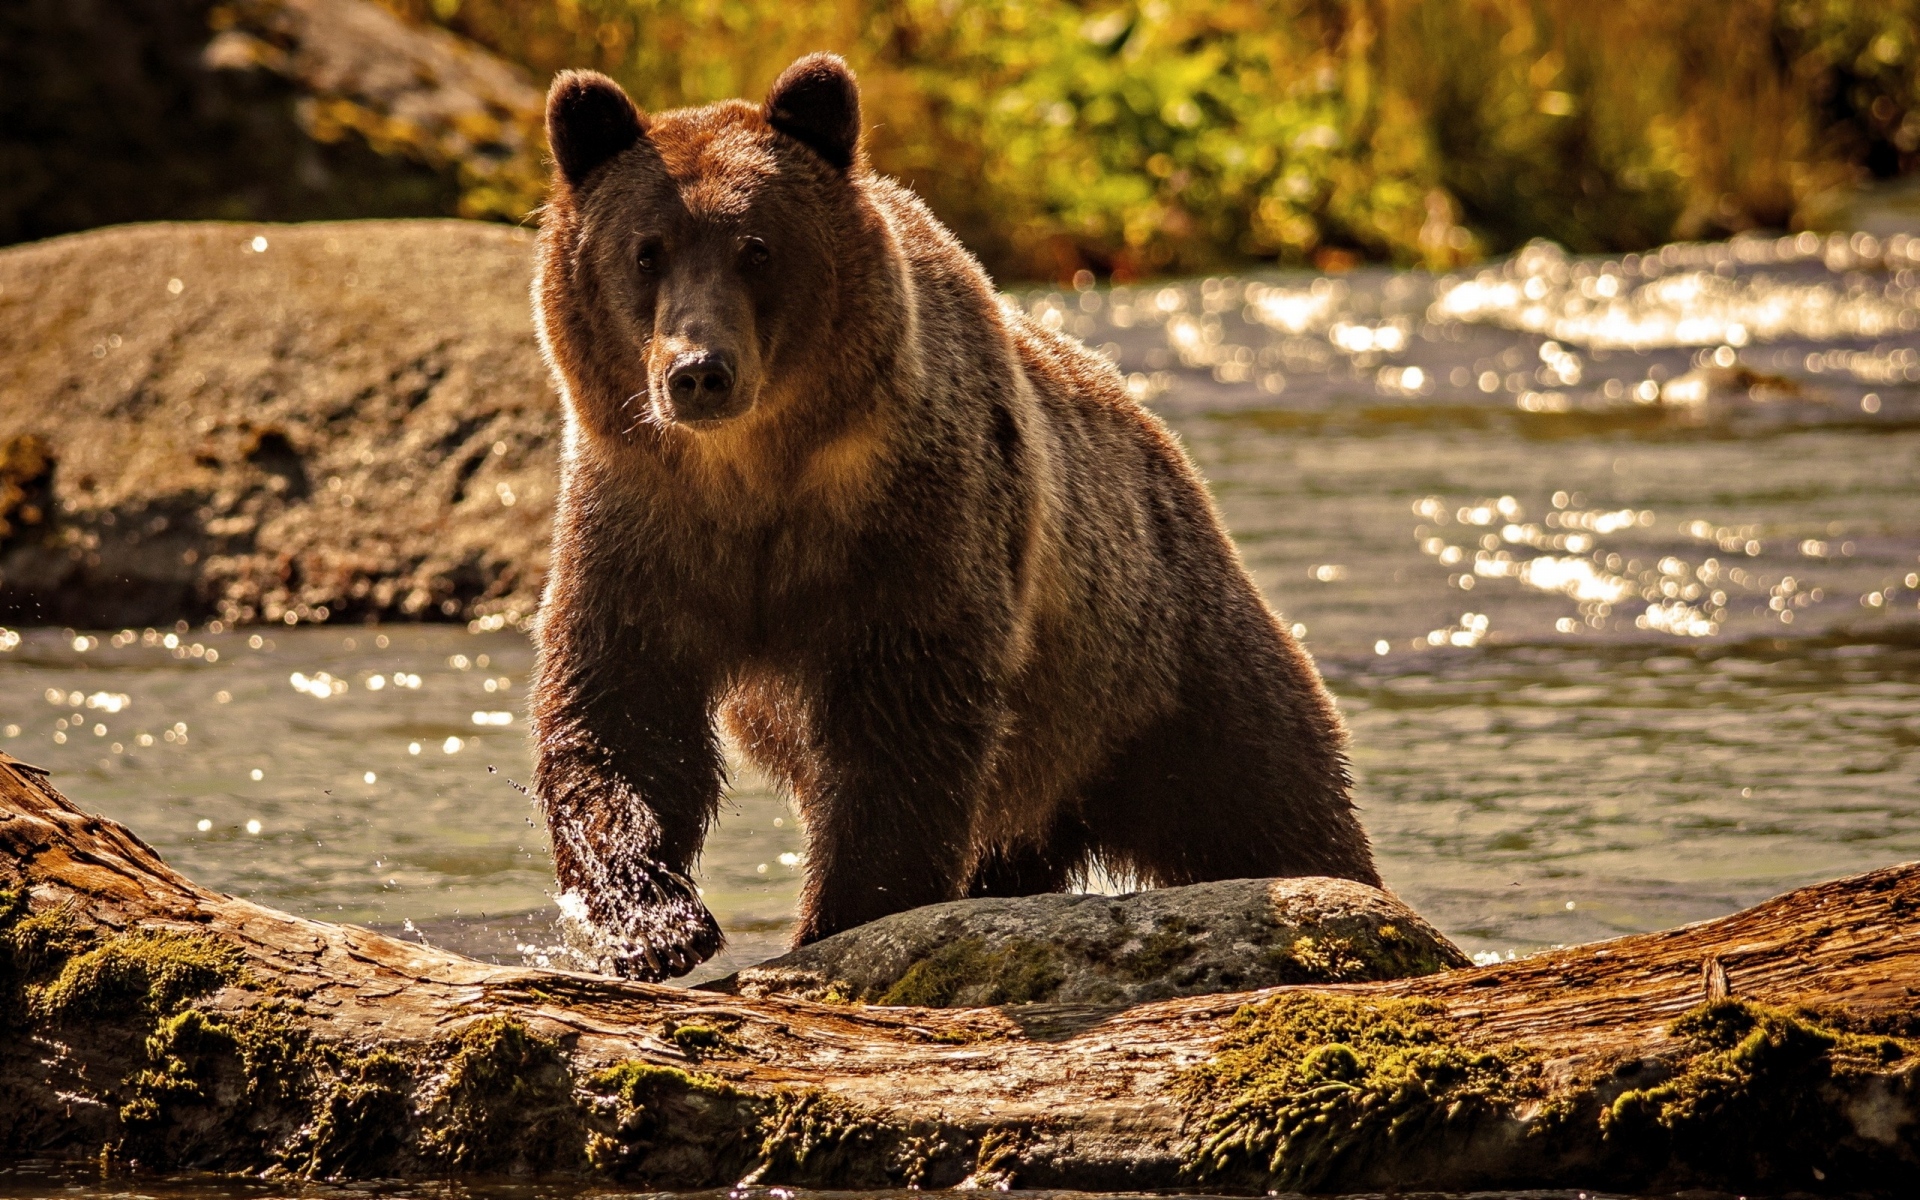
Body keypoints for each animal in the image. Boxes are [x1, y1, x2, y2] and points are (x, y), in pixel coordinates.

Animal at [529, 53, 1380, 981]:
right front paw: (651, 921)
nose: (698, 371)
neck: (755, 474)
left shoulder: (913, 521)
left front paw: (839, 917)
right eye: (645, 251)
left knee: (1268, 797)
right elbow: (622, 709)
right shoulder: (643, 520)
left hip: (1160, 662)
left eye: (756, 247)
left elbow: (902, 728)